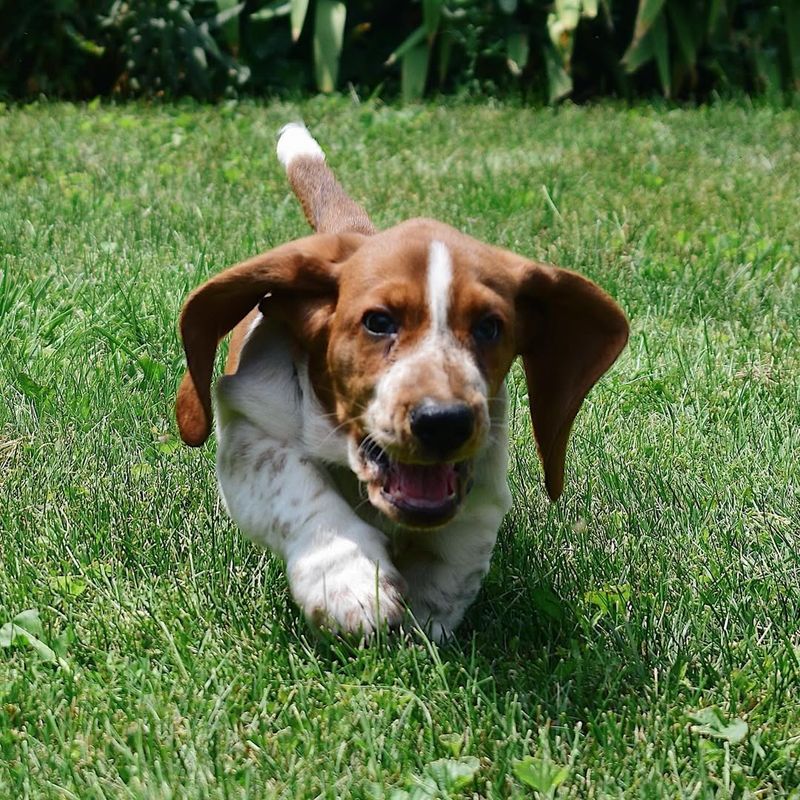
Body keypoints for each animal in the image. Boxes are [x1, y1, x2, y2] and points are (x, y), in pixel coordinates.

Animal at [177, 122, 632, 640]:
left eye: (489, 327)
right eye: (378, 322)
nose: (444, 422)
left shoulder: (482, 485)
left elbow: (455, 558)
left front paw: (423, 626)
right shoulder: (252, 431)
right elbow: (302, 495)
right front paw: (350, 584)